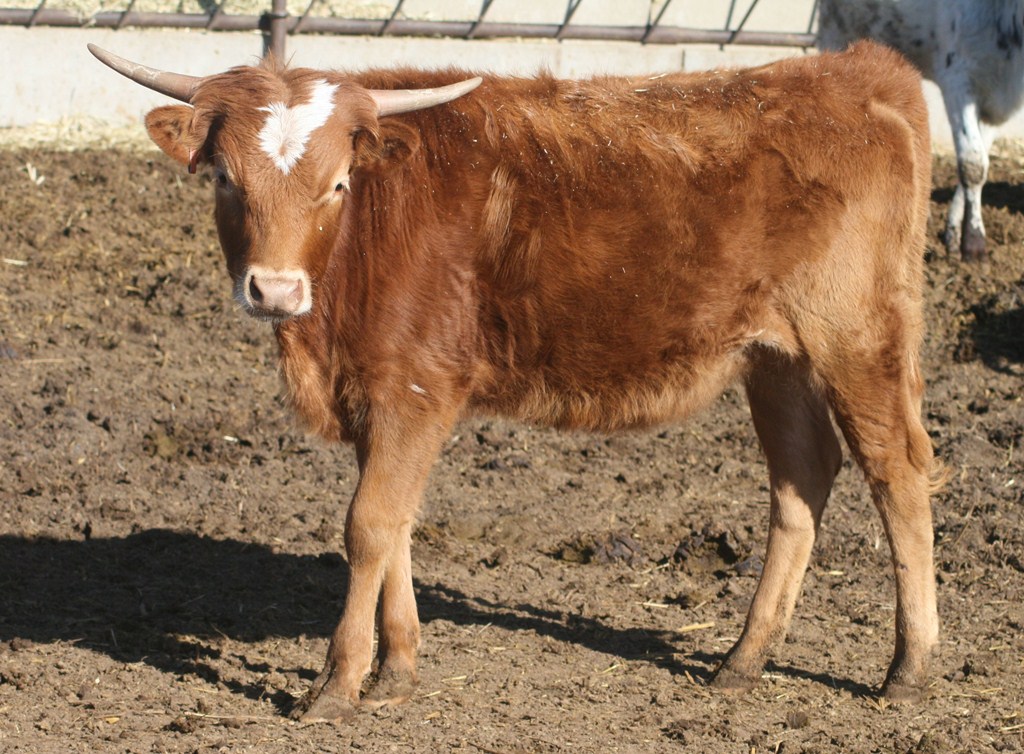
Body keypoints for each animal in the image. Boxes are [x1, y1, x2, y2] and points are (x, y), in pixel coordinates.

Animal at [90, 41, 941, 722]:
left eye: (336, 184)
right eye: (226, 180)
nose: (273, 290)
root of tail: (854, 70)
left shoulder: (413, 391)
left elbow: (368, 526)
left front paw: (337, 685)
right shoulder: (381, 397)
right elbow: (396, 525)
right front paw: (397, 671)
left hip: (857, 337)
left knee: (897, 472)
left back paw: (908, 667)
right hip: (777, 358)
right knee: (802, 479)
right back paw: (744, 659)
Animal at [818, 0, 1024, 263]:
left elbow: (979, 165)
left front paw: (955, 232)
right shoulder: (958, 77)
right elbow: (972, 164)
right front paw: (974, 242)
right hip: (834, 30)